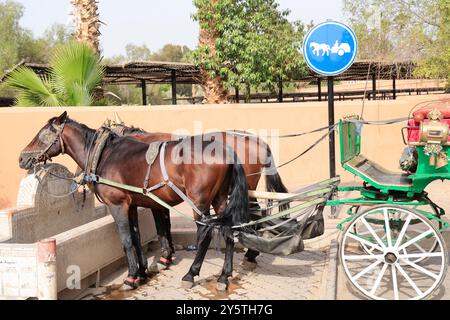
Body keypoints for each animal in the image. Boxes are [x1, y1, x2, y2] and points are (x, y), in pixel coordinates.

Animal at [18, 112, 250, 290]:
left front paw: (131, 277)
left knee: (205, 232)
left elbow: (126, 240)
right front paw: (142, 271)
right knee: (228, 230)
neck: (105, 155)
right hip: (220, 200)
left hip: (199, 202)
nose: (21, 158)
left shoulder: (117, 206)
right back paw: (224, 276)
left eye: (43, 135)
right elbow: (137, 237)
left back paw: (191, 274)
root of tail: (226, 150)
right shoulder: (132, 206)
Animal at [109, 120, 290, 270]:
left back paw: (250, 253)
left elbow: (161, 226)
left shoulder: (155, 200)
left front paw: (165, 256)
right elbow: (166, 225)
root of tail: (257, 141)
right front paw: (169, 253)